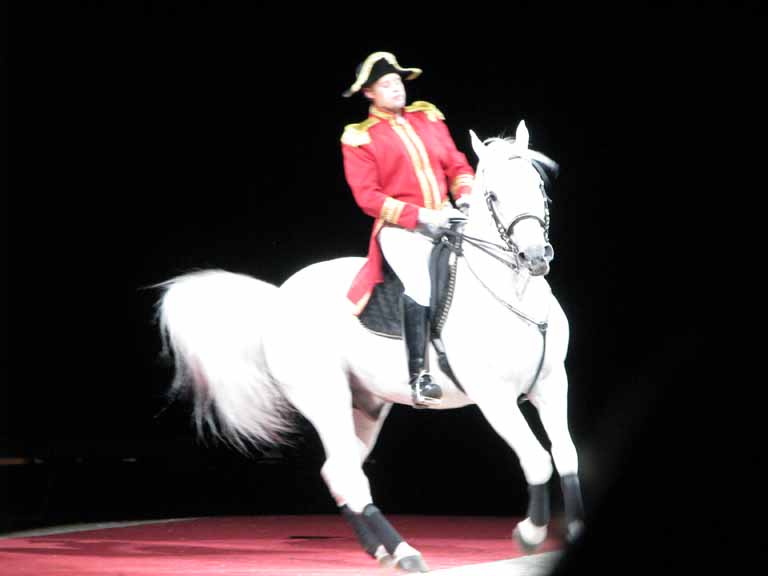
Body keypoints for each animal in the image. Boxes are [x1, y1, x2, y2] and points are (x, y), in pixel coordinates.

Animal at [159, 121, 584, 572]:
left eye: (537, 185)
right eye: (494, 197)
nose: (535, 256)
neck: (514, 294)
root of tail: (278, 299)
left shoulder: (552, 384)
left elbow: (566, 455)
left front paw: (574, 530)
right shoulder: (493, 396)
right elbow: (537, 458)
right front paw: (529, 533)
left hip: (366, 405)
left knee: (339, 471)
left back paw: (382, 549)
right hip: (324, 396)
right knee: (347, 473)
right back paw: (404, 552)